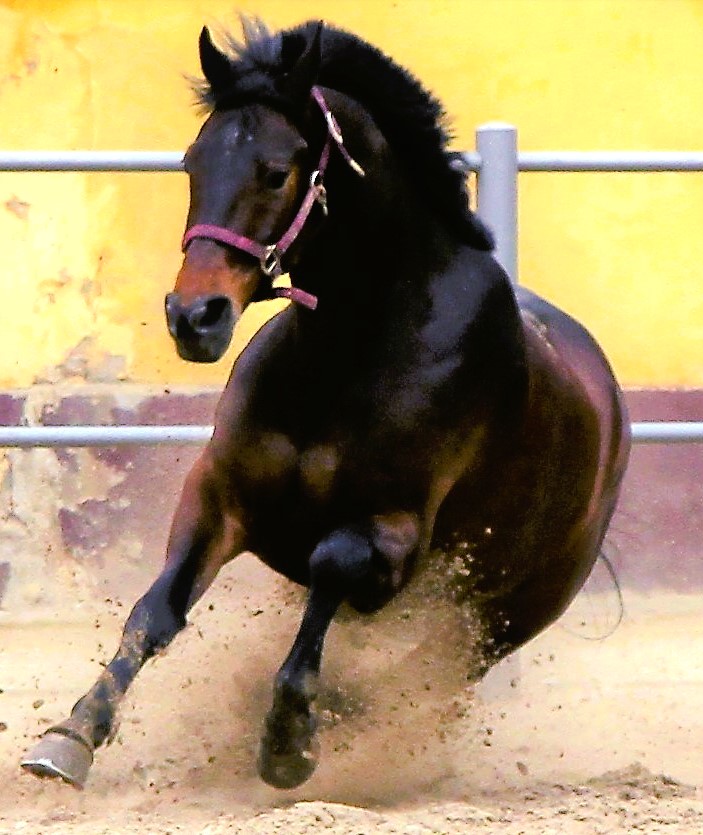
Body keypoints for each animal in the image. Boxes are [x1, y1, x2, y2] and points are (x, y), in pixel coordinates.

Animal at [22, 18, 628, 792]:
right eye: (192, 163)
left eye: (277, 171)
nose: (194, 317)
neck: (346, 351)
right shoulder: (219, 494)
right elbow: (156, 611)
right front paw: (70, 735)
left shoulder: (392, 533)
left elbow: (329, 564)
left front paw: (288, 740)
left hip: (501, 617)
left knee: (427, 673)